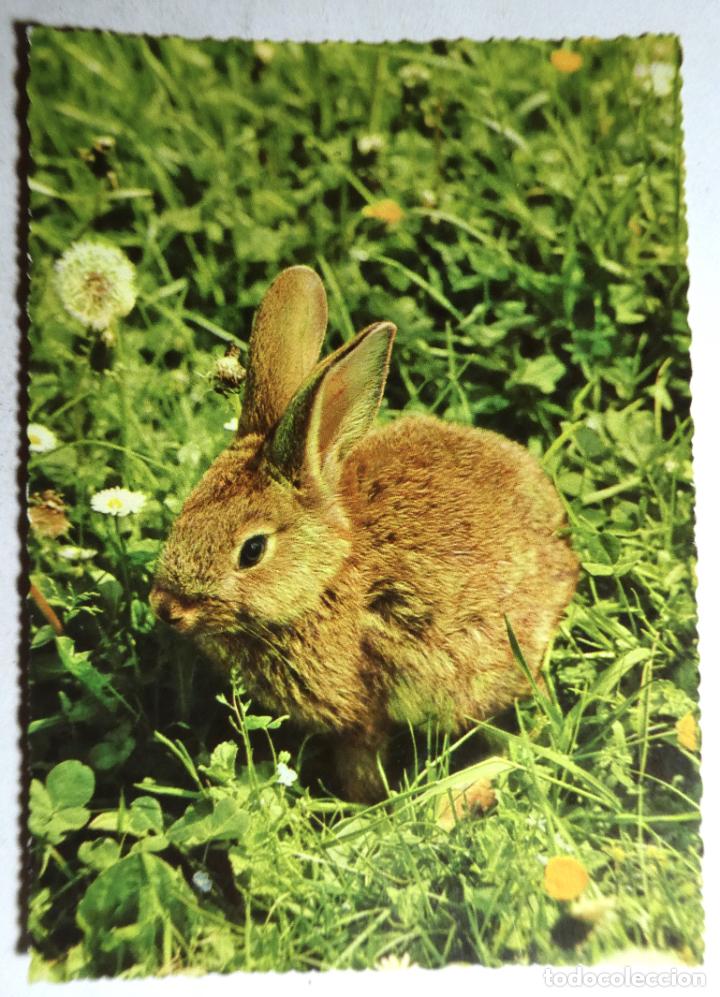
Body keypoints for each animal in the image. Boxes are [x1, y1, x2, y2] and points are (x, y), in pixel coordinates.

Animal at [150, 266, 578, 802]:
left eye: (252, 550)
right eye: (184, 513)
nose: (165, 608)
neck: (326, 575)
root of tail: (564, 556)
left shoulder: (359, 713)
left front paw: (362, 805)